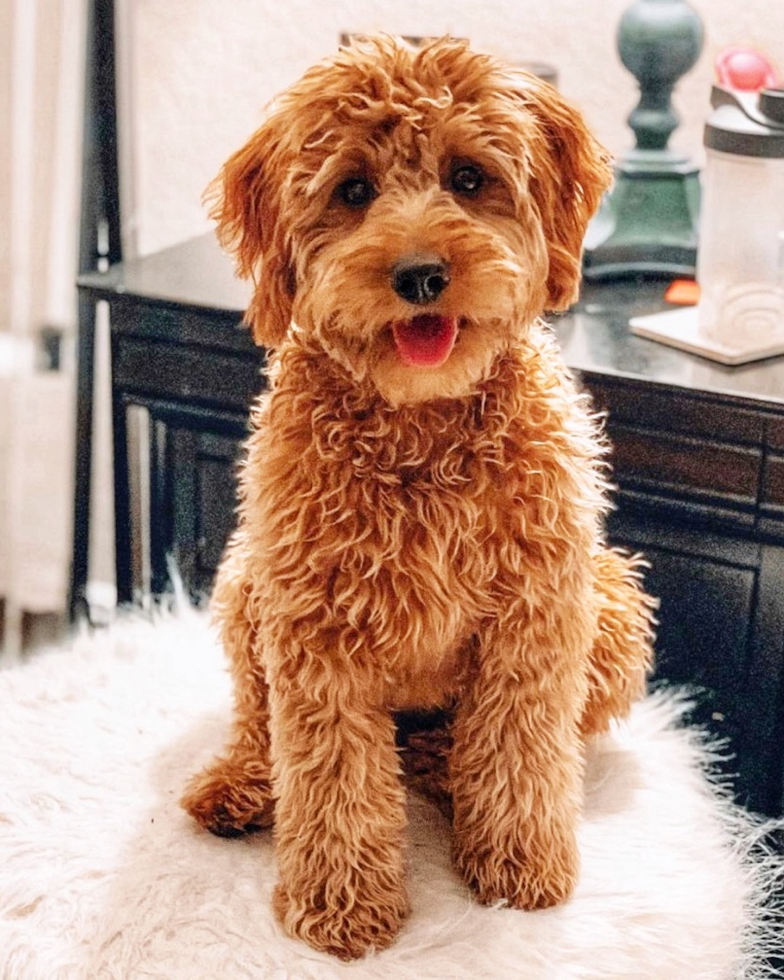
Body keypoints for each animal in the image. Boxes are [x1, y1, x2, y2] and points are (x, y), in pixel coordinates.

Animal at [182, 36, 656, 956]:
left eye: (469, 178)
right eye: (352, 190)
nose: (420, 275)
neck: (420, 426)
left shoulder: (537, 611)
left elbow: (519, 746)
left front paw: (519, 865)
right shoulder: (314, 626)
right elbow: (330, 774)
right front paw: (342, 906)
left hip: (613, 603)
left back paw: (442, 764)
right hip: (245, 586)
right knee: (260, 723)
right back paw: (244, 786)